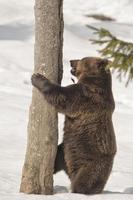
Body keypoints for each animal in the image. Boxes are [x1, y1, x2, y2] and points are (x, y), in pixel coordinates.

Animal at [31, 57, 116, 195]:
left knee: (85, 180)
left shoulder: (86, 96)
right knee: (57, 158)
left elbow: (63, 97)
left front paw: (37, 77)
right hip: (66, 150)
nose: (71, 61)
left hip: (92, 162)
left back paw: (79, 191)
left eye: (82, 59)